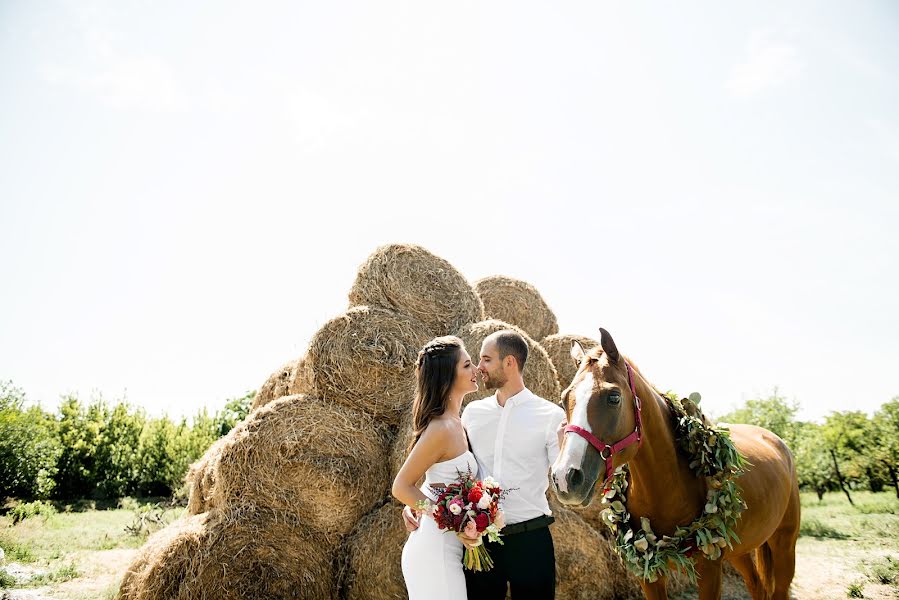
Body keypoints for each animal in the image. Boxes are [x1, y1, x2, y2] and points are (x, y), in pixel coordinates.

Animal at [548, 330, 800, 596]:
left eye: (613, 397)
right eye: (564, 398)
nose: (565, 478)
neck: (669, 486)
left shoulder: (709, 569)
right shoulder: (648, 573)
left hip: (784, 545)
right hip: (739, 551)